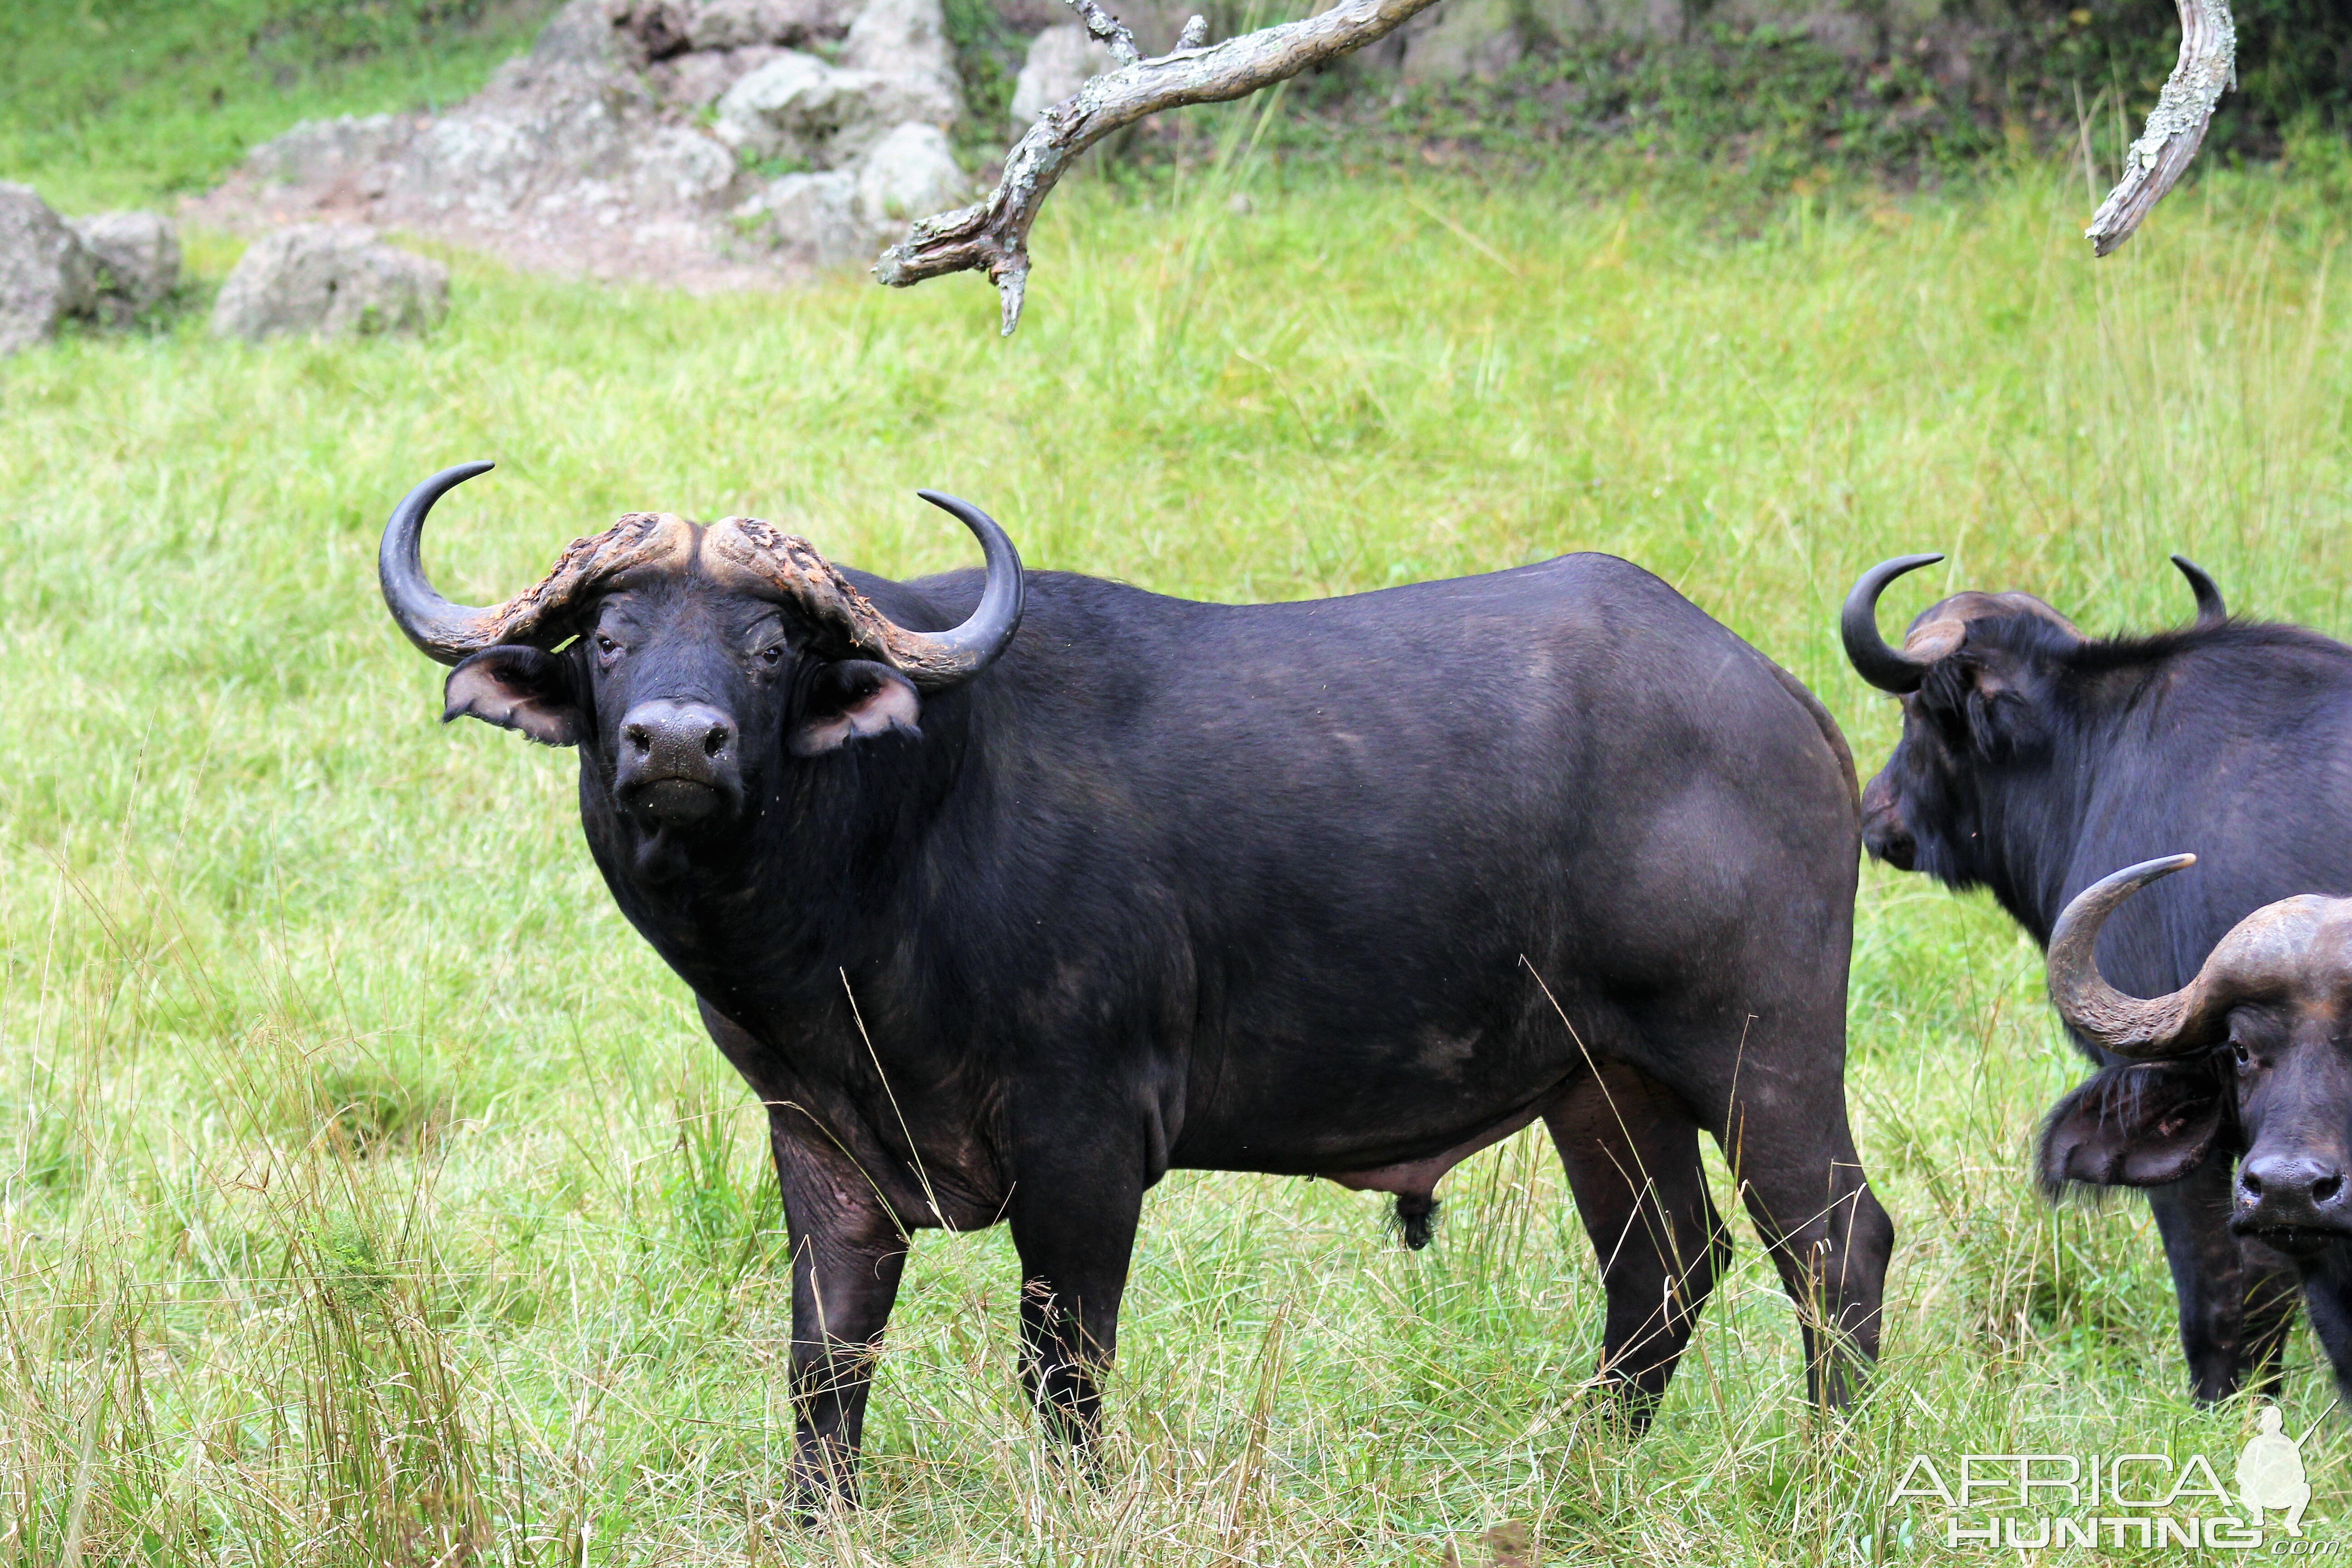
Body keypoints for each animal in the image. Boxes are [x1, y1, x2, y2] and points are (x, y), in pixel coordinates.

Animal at [381, 461, 1891, 1504]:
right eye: (610, 639)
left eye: (770, 647)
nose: (676, 743)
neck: (889, 859)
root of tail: (1784, 706)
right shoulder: (818, 1136)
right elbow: (826, 1360)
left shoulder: (1086, 1143)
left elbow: (1065, 1364)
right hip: (1600, 1082)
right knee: (1663, 1264)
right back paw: (1584, 1466)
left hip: (1761, 1048)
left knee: (1833, 1246)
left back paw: (1828, 1475)